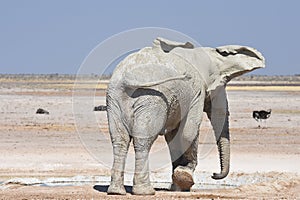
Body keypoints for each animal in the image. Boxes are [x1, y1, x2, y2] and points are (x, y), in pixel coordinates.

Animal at [105, 36, 264, 195]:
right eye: (220, 87)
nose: (214, 174)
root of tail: (126, 77)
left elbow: (174, 136)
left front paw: (177, 185)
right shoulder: (197, 93)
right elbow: (188, 133)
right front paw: (184, 177)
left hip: (115, 97)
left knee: (120, 140)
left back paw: (116, 191)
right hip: (151, 98)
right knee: (143, 140)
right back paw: (145, 191)